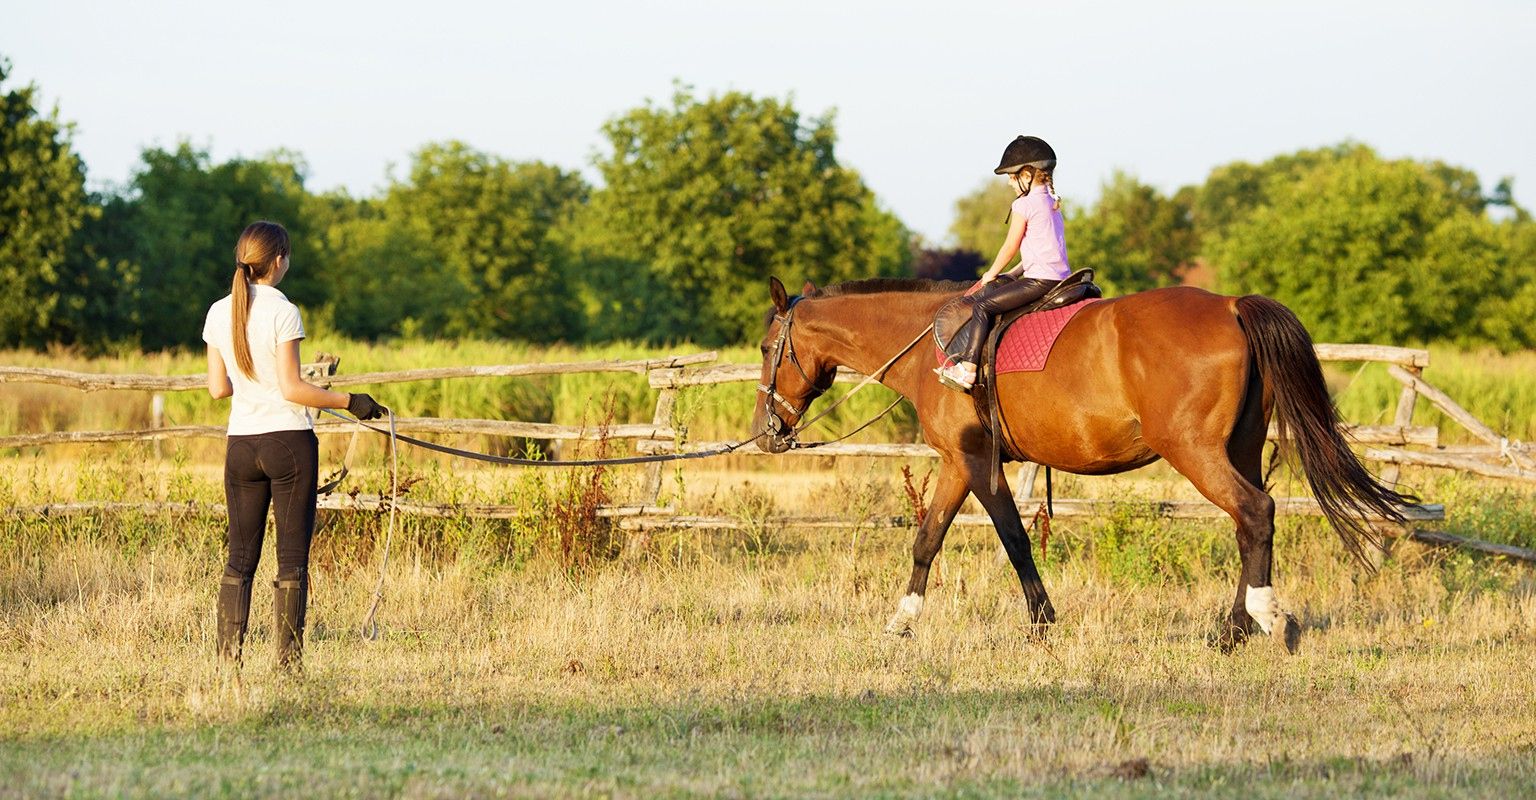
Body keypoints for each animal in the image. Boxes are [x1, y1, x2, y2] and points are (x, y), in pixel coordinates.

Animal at [755, 274, 1413, 647]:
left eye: (766, 348)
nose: (766, 435)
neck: (929, 344)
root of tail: (1231, 305)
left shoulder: (974, 460)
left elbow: (1010, 539)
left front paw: (1041, 622)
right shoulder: (955, 464)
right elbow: (929, 539)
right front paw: (902, 622)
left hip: (1196, 451)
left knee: (1255, 512)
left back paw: (1254, 624)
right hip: (1243, 448)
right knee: (1251, 524)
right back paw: (1236, 626)